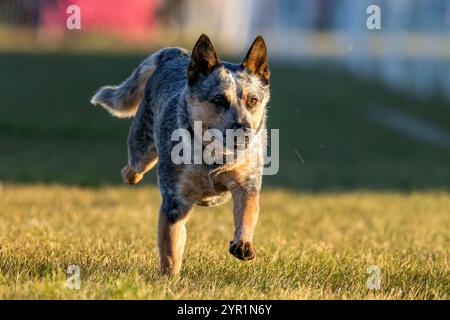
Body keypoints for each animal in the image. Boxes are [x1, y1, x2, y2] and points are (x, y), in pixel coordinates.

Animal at [89, 34, 268, 276]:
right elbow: (170, 246)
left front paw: (243, 244)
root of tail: (175, 53)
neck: (213, 156)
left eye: (253, 100)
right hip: (143, 150)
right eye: (219, 99)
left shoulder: (247, 183)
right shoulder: (175, 200)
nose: (245, 130)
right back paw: (130, 175)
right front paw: (169, 278)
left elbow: (247, 212)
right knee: (133, 169)